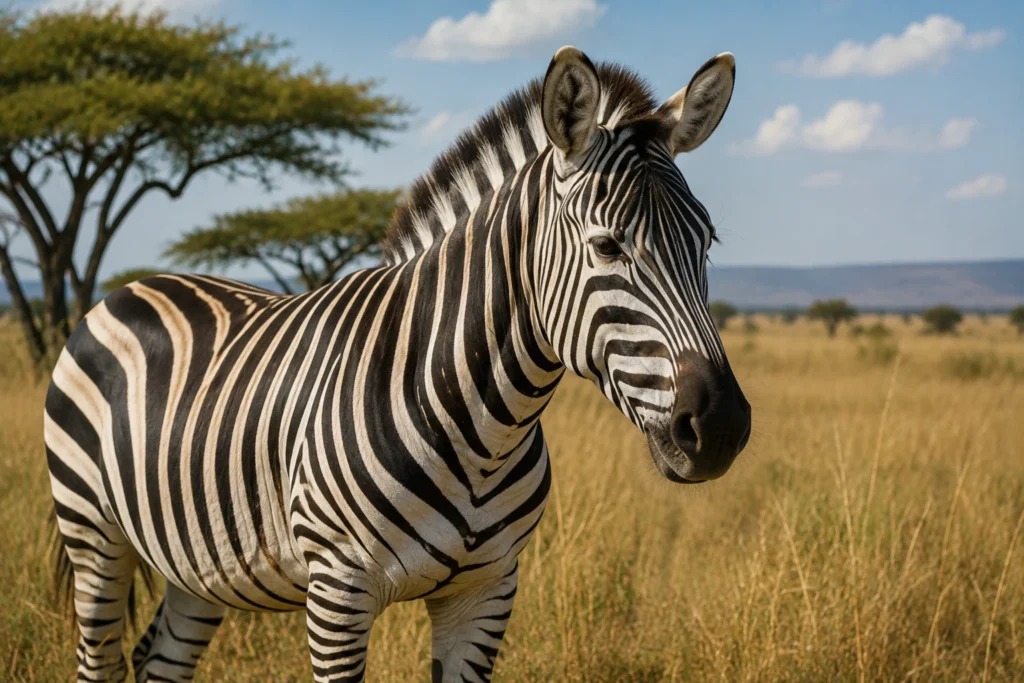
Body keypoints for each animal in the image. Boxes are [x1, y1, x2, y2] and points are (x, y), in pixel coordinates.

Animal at [45, 46, 751, 682]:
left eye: (707, 242)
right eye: (607, 246)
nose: (720, 427)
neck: (484, 430)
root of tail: (133, 286)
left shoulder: (486, 593)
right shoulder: (338, 592)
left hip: (202, 562)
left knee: (158, 661)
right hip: (93, 530)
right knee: (99, 660)